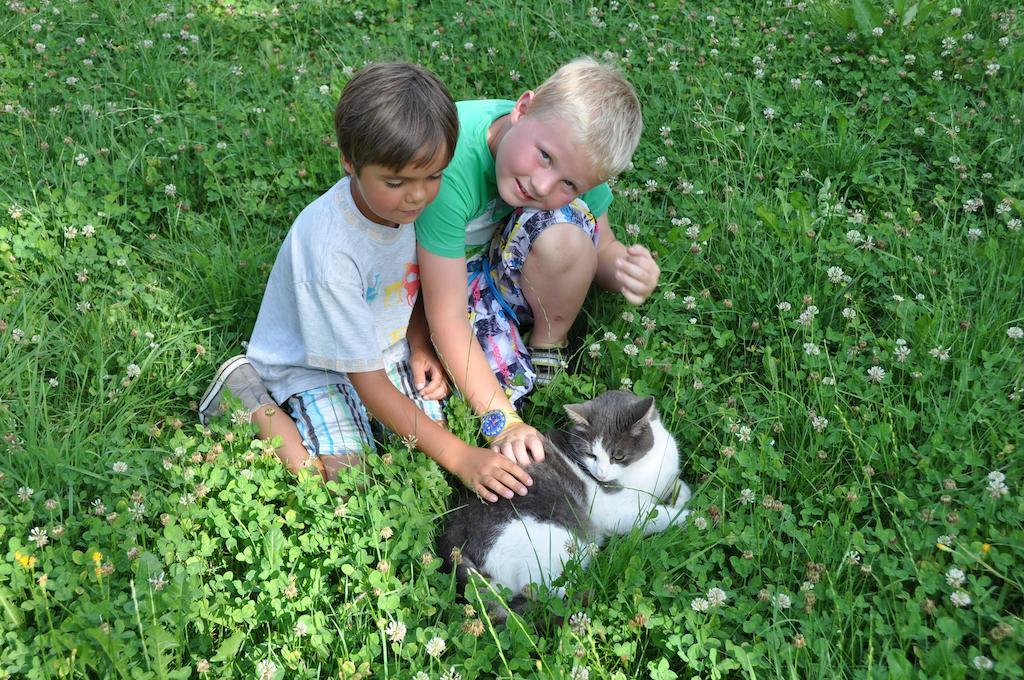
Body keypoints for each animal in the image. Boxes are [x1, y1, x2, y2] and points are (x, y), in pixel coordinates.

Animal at [436, 387, 692, 614]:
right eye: (590, 454)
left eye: (618, 456)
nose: (600, 474)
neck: (645, 466)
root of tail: (452, 539)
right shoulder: (616, 511)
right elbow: (658, 516)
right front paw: (693, 517)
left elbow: (679, 490)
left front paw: (682, 498)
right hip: (556, 537)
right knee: (544, 593)